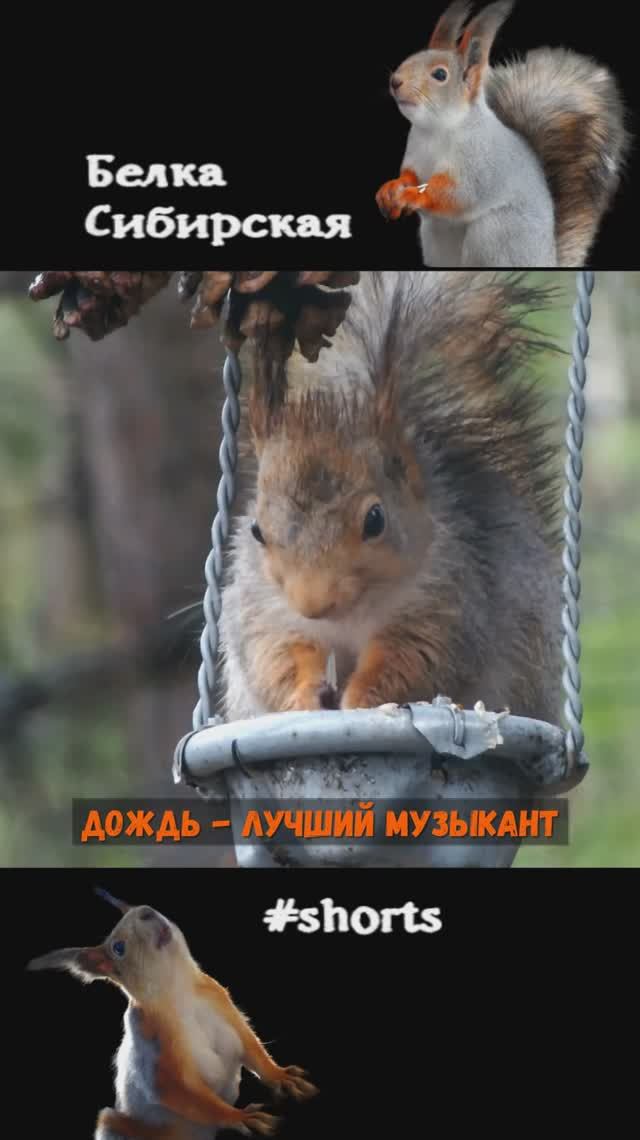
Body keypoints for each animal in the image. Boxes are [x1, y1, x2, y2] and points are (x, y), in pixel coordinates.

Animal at [27, 889, 318, 1140]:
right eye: (118, 948)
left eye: (140, 906)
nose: (146, 912)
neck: (178, 988)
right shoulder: (151, 1042)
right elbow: (179, 1091)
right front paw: (239, 1117)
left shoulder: (223, 1003)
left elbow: (251, 1048)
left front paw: (281, 1077)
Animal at [219, 270, 562, 728]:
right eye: (257, 530)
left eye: (376, 520)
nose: (313, 604)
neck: (349, 616)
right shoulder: (264, 608)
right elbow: (278, 657)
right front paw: (305, 694)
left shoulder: (448, 599)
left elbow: (408, 660)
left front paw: (362, 699)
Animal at [375, 0, 631, 267]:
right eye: (410, 58)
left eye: (440, 75)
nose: (395, 81)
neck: (437, 129)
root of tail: (548, 259)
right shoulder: (415, 153)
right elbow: (409, 175)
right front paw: (390, 189)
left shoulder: (480, 163)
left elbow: (458, 193)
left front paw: (412, 196)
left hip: (496, 234)